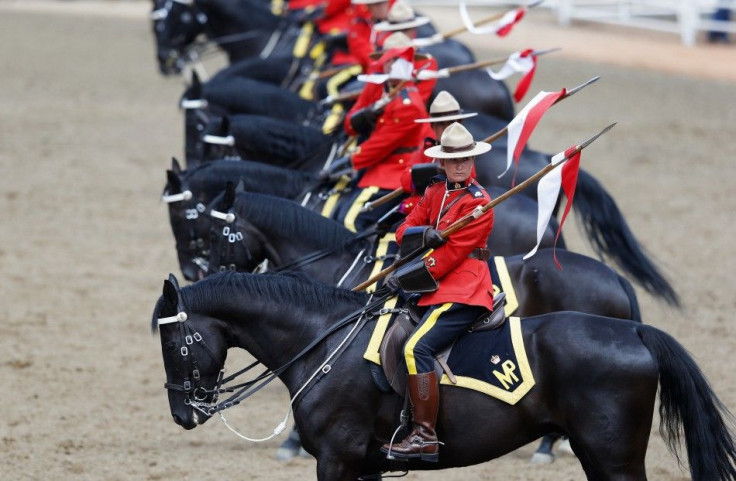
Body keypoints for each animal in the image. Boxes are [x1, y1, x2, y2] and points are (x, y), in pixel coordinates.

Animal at [151, 270, 736, 480]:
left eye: (174, 342)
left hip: (613, 458)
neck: (322, 341)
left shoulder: (338, 461)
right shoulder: (366, 467)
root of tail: (634, 331)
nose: (182, 413)